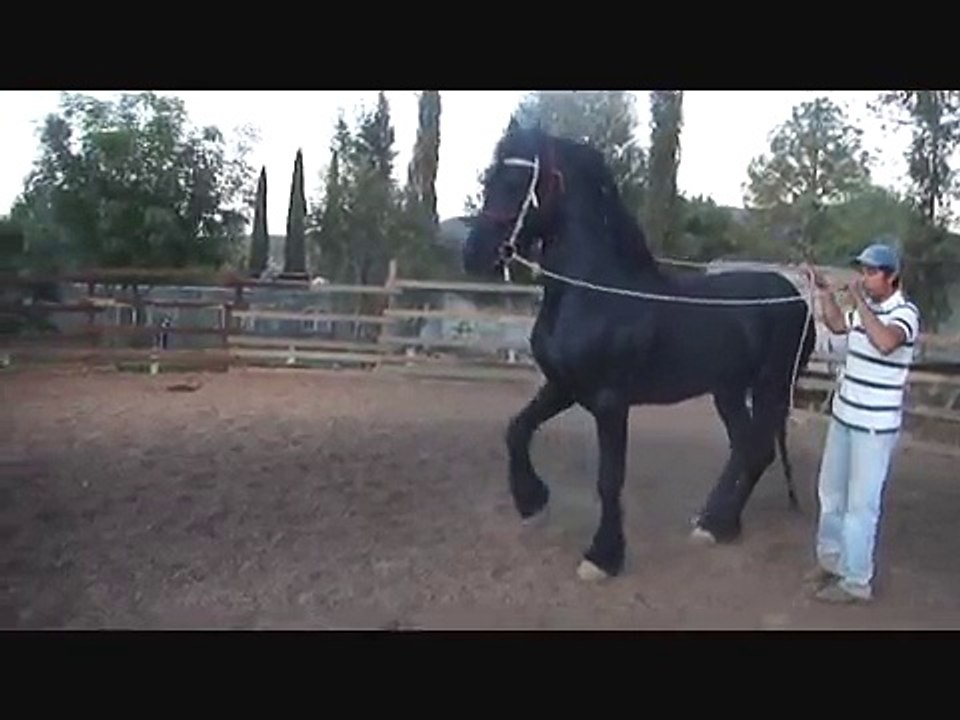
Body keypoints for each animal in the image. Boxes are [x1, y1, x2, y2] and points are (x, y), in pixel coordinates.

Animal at [461, 122, 817, 582]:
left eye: (518, 180)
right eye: (490, 177)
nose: (474, 254)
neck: (593, 293)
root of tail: (796, 296)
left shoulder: (611, 402)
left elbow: (609, 479)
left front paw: (603, 557)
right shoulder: (562, 387)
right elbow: (517, 429)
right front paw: (531, 499)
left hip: (770, 386)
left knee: (757, 450)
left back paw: (719, 524)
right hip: (729, 390)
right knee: (745, 448)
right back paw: (714, 523)